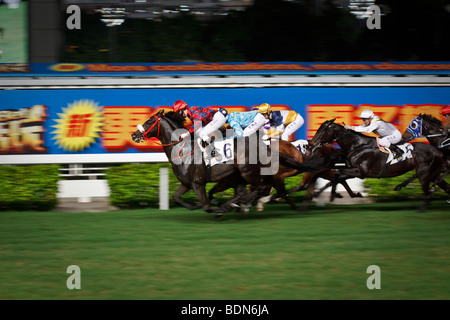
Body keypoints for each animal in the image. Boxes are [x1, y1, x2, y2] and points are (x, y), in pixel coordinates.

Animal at [130, 109, 312, 216]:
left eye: (149, 121)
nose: (134, 135)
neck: (183, 150)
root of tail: (264, 146)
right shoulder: (187, 183)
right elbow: (176, 198)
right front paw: (195, 206)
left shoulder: (197, 183)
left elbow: (205, 205)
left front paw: (215, 207)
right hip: (240, 176)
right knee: (250, 191)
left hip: (247, 172)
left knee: (259, 188)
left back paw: (234, 205)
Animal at [310, 119, 442, 211]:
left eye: (322, 130)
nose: (311, 144)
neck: (357, 145)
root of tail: (437, 151)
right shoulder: (353, 170)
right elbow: (337, 177)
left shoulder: (361, 172)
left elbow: (338, 175)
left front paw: (333, 195)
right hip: (427, 172)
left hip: (424, 172)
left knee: (428, 193)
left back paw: (421, 210)